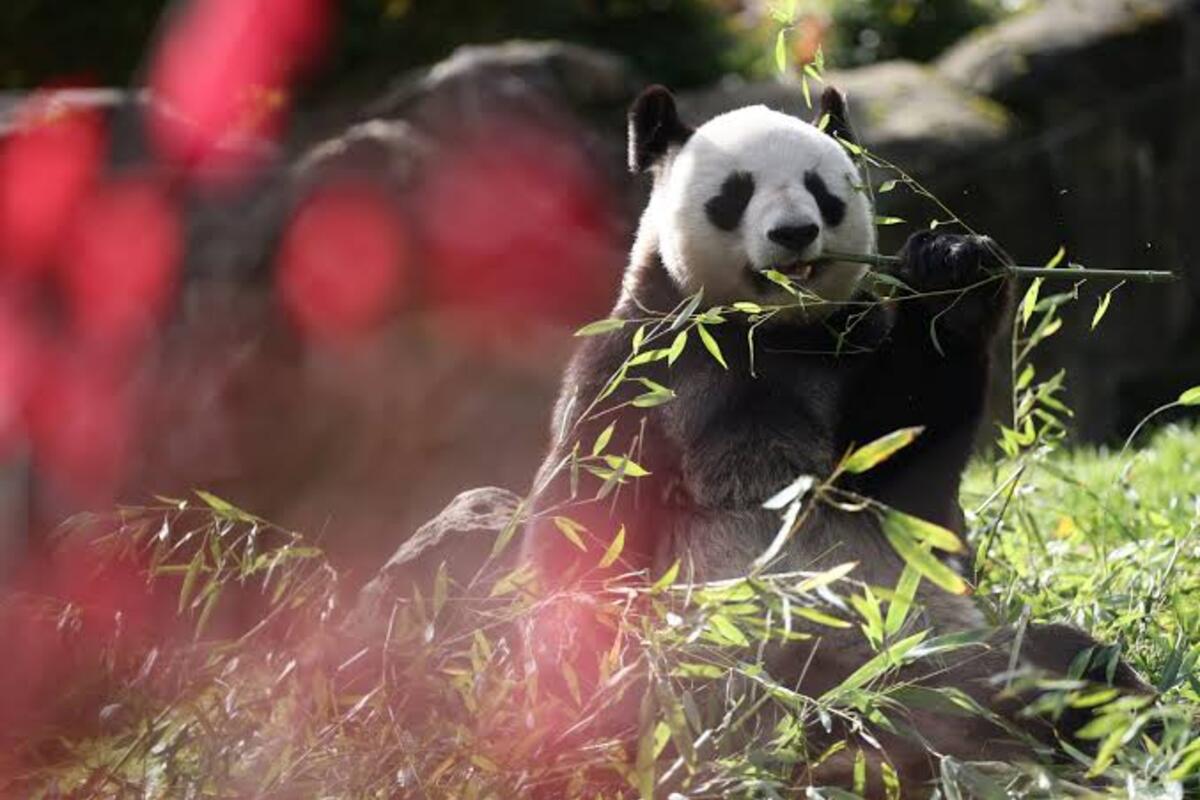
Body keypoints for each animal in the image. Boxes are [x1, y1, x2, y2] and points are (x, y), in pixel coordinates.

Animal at [518, 85, 1146, 790]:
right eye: (734, 193)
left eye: (822, 191)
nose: (794, 233)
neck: (764, 332)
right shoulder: (643, 364)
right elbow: (590, 514)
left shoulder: (848, 346)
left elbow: (909, 468)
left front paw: (953, 271)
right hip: (703, 689)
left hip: (946, 659)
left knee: (1070, 669)